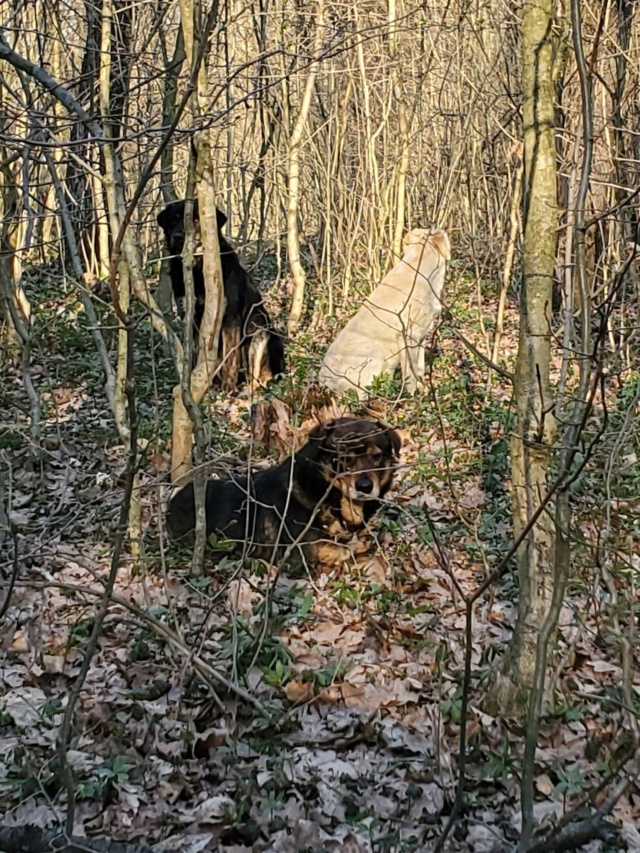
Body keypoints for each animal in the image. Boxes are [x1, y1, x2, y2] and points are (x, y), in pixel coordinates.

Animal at [156, 200, 284, 390]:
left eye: (196, 221)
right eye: (173, 220)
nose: (179, 237)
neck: (197, 268)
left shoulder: (230, 318)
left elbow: (230, 358)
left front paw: (228, 389)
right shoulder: (191, 319)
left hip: (260, 330)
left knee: (257, 376)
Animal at [165, 418, 400, 564]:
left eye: (377, 456)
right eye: (343, 459)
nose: (365, 486)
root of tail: (173, 500)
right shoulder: (301, 549)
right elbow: (344, 548)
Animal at [318, 226, 450, 400]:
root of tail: (323, 382)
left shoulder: (422, 336)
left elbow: (420, 368)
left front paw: (424, 391)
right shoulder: (408, 336)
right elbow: (411, 372)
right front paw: (413, 396)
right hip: (373, 357)